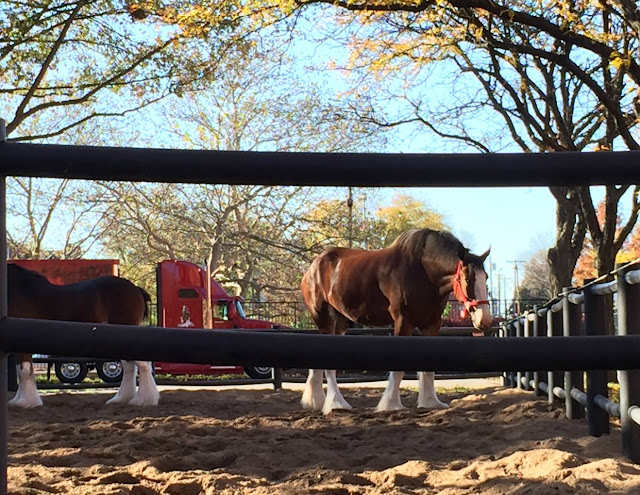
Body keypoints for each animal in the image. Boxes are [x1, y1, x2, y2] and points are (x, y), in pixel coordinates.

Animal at [6, 264, 159, 406]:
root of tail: (136, 289)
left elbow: (24, 371)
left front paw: (25, 403)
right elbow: (21, 371)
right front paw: (18, 400)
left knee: (142, 364)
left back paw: (143, 400)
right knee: (129, 367)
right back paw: (121, 399)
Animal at [300, 231, 490, 416]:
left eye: (486, 277)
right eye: (468, 279)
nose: (485, 319)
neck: (423, 271)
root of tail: (312, 268)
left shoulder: (431, 324)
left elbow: (428, 368)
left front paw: (430, 402)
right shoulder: (403, 321)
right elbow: (398, 370)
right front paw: (391, 404)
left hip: (340, 324)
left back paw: (316, 402)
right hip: (325, 319)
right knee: (329, 368)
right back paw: (336, 404)